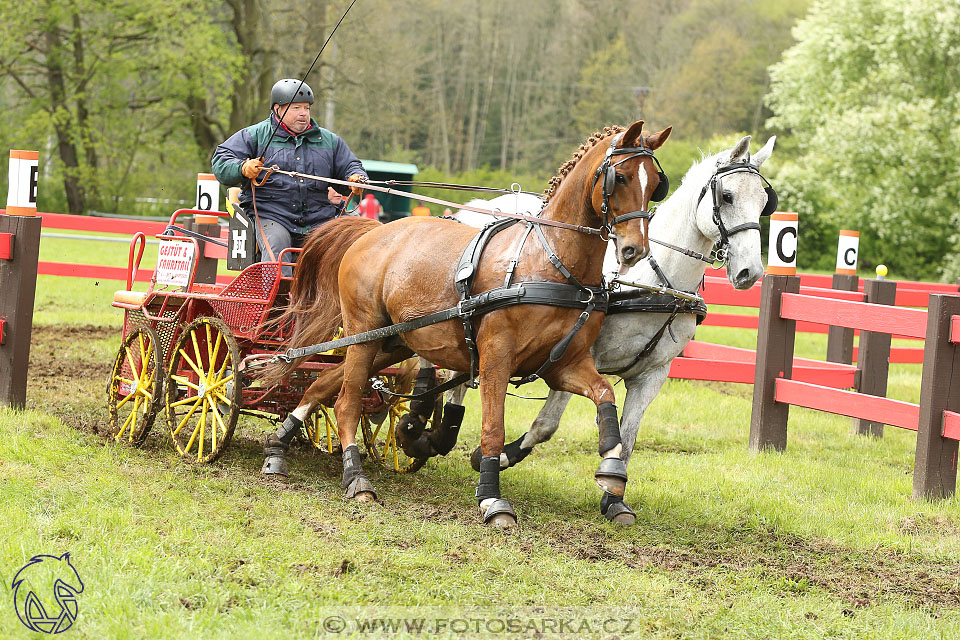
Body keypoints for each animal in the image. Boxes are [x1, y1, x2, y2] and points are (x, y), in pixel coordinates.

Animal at [258, 120, 672, 524]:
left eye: (655, 184)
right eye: (620, 177)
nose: (634, 249)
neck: (551, 262)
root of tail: (371, 230)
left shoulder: (565, 364)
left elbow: (606, 397)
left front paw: (612, 470)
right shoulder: (496, 358)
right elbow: (493, 428)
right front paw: (491, 498)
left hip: (392, 343)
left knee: (323, 384)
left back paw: (278, 447)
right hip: (362, 333)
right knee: (347, 402)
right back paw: (356, 478)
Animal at [446, 135, 776, 520]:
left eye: (765, 201)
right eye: (727, 196)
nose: (750, 272)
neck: (654, 282)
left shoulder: (652, 376)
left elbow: (627, 439)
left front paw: (614, 496)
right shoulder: (574, 354)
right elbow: (546, 424)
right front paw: (495, 457)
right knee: (458, 378)